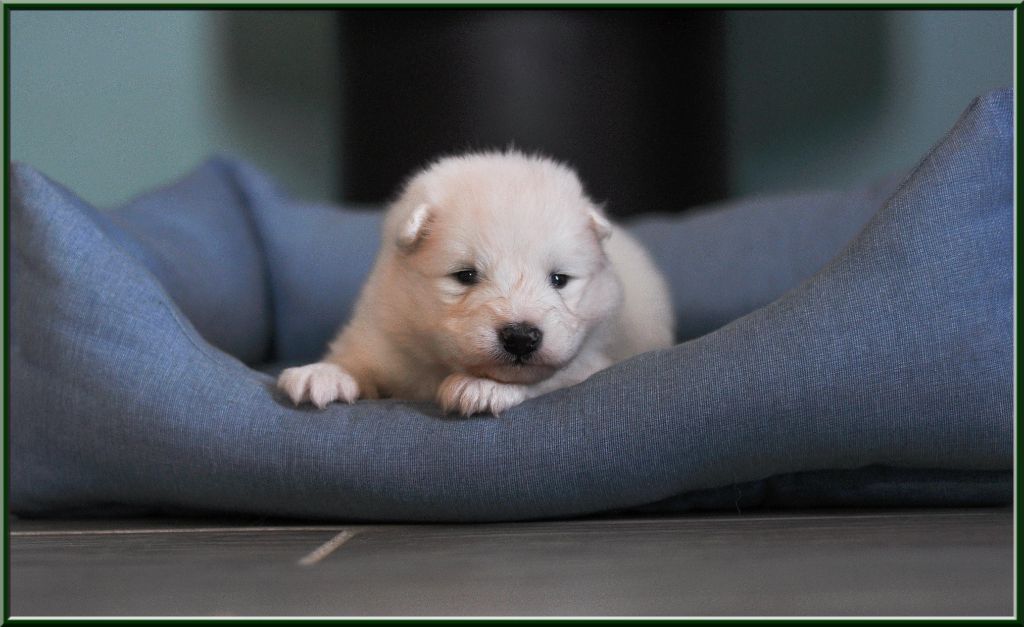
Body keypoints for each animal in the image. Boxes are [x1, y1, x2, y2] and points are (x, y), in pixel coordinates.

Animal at [278, 151, 674, 416]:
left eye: (559, 280)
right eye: (466, 276)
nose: (521, 337)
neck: (440, 366)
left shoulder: (593, 358)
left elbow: (549, 377)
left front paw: (484, 387)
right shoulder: (386, 335)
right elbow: (358, 358)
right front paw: (322, 373)